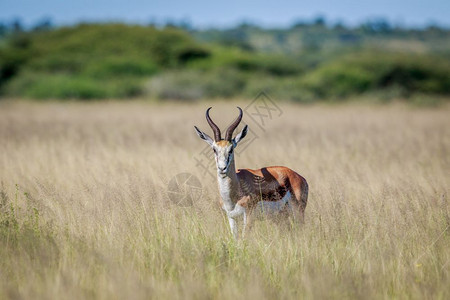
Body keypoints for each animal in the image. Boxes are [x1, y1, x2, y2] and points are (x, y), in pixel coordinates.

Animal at [194, 106, 310, 238]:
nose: (222, 168)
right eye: (214, 149)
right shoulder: (231, 218)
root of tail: (299, 177)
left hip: (298, 213)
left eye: (231, 149)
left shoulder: (249, 216)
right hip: (281, 216)